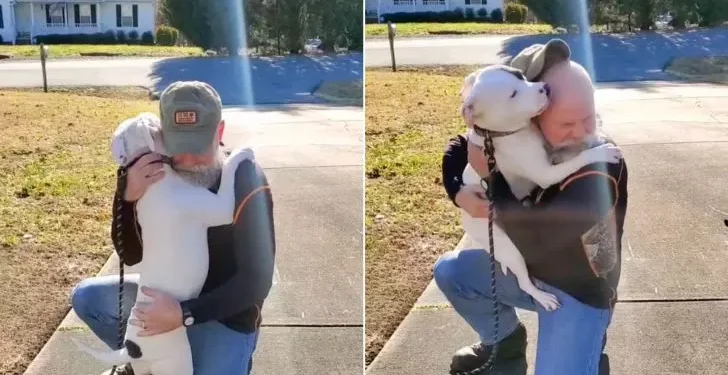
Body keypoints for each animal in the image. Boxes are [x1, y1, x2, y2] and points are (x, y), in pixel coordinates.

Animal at [72, 113, 253, 375]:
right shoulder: (222, 208)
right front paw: (242, 152)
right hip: (178, 363)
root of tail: (131, 348)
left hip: (146, 367)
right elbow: (229, 172)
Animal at [460, 65, 620, 312]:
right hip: (509, 246)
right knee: (523, 282)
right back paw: (542, 297)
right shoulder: (545, 174)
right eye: (513, 95)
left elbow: (566, 152)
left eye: (520, 75)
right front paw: (600, 152)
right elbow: (577, 159)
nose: (545, 87)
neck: (502, 135)